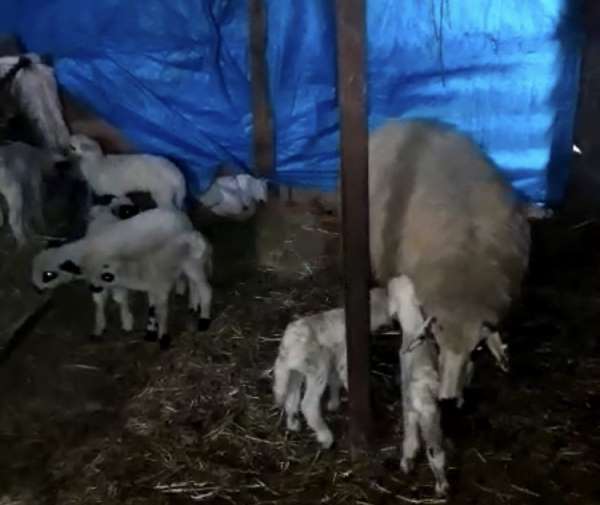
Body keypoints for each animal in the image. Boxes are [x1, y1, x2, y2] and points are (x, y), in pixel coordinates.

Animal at [274, 286, 394, 446]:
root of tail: (289, 344)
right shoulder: (343, 355)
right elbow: (344, 377)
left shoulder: (334, 357)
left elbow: (334, 380)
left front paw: (333, 403)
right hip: (317, 366)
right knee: (309, 404)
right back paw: (325, 437)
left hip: (294, 371)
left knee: (291, 395)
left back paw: (293, 423)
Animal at [386, 274, 448, 494]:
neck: (414, 328)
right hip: (435, 422)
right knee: (438, 453)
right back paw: (443, 486)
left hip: (418, 414)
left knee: (421, 445)